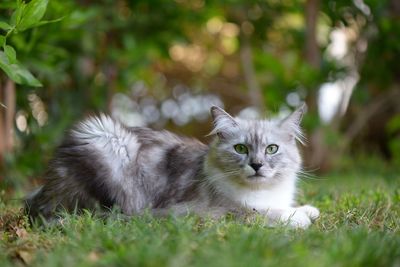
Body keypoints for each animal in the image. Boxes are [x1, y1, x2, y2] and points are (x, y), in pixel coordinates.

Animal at [24, 103, 318, 229]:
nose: (256, 165)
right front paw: (297, 218)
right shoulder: (213, 210)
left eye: (272, 149)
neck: (263, 193)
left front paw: (307, 210)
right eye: (241, 149)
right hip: (106, 138)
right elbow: (261, 213)